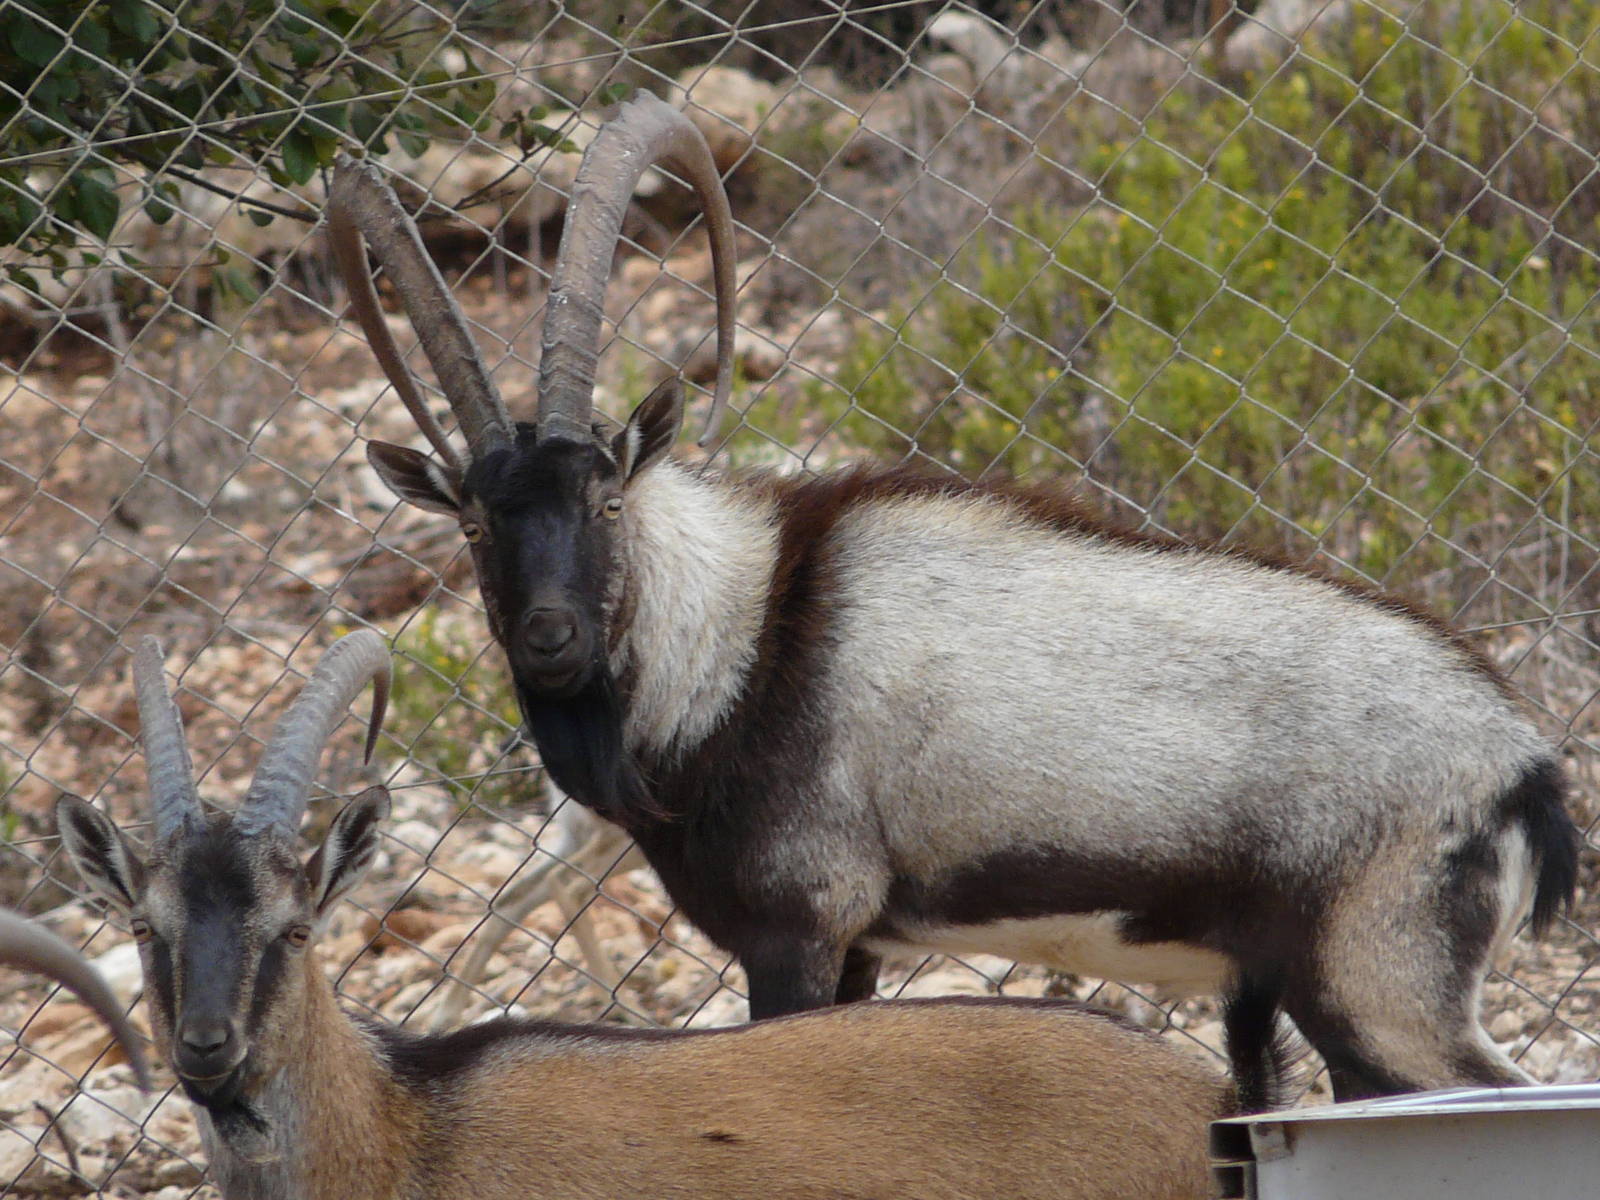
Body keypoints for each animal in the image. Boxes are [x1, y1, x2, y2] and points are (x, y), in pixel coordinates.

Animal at [333, 93, 1580, 1104]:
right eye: (475, 521)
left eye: (603, 498)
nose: (549, 638)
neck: (744, 639)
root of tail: (1520, 769)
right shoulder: (861, 949)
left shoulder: (799, 929)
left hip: (1379, 989)